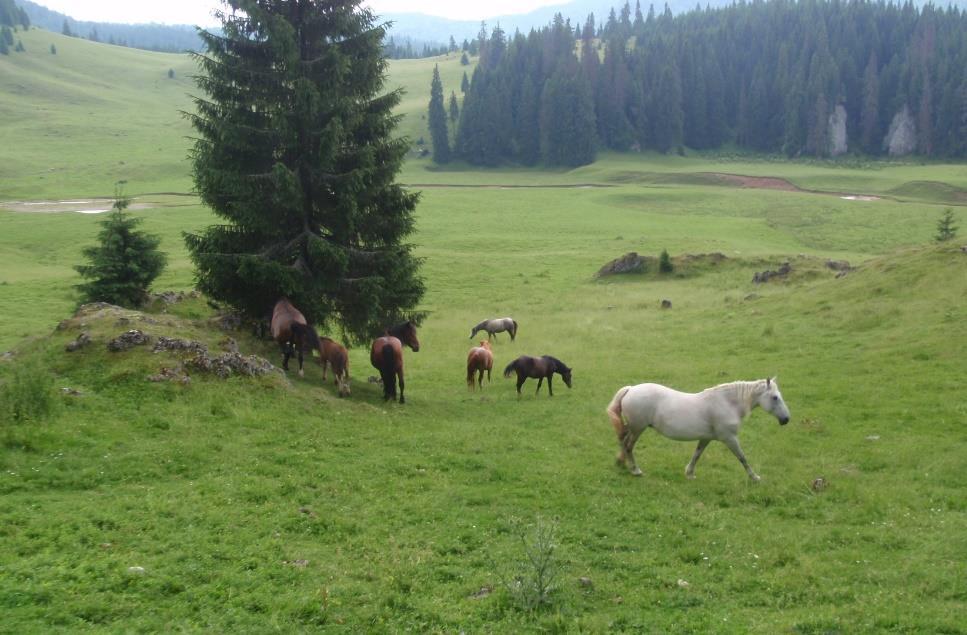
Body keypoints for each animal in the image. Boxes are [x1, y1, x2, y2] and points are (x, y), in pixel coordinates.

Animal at [608, 380, 792, 480]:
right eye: (775, 397)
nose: (786, 419)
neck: (727, 403)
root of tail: (631, 389)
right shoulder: (730, 438)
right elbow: (742, 458)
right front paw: (755, 478)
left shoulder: (706, 438)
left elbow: (697, 455)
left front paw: (689, 474)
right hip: (638, 428)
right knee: (628, 446)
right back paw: (635, 470)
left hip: (633, 427)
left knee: (622, 440)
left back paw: (621, 463)